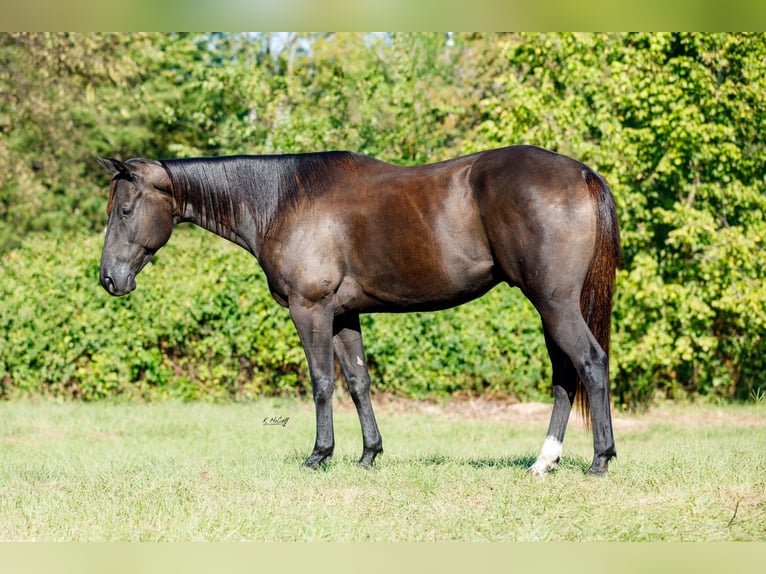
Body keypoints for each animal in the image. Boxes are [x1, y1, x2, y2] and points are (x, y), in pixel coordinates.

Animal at [97, 145, 624, 476]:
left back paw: (599, 459)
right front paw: (369, 454)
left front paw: (319, 455)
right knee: (565, 374)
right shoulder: (344, 316)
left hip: (554, 302)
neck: (282, 201)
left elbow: (321, 383)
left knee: (589, 362)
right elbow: (357, 381)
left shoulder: (310, 309)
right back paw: (544, 461)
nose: (108, 279)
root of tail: (581, 173)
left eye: (124, 211)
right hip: (552, 306)